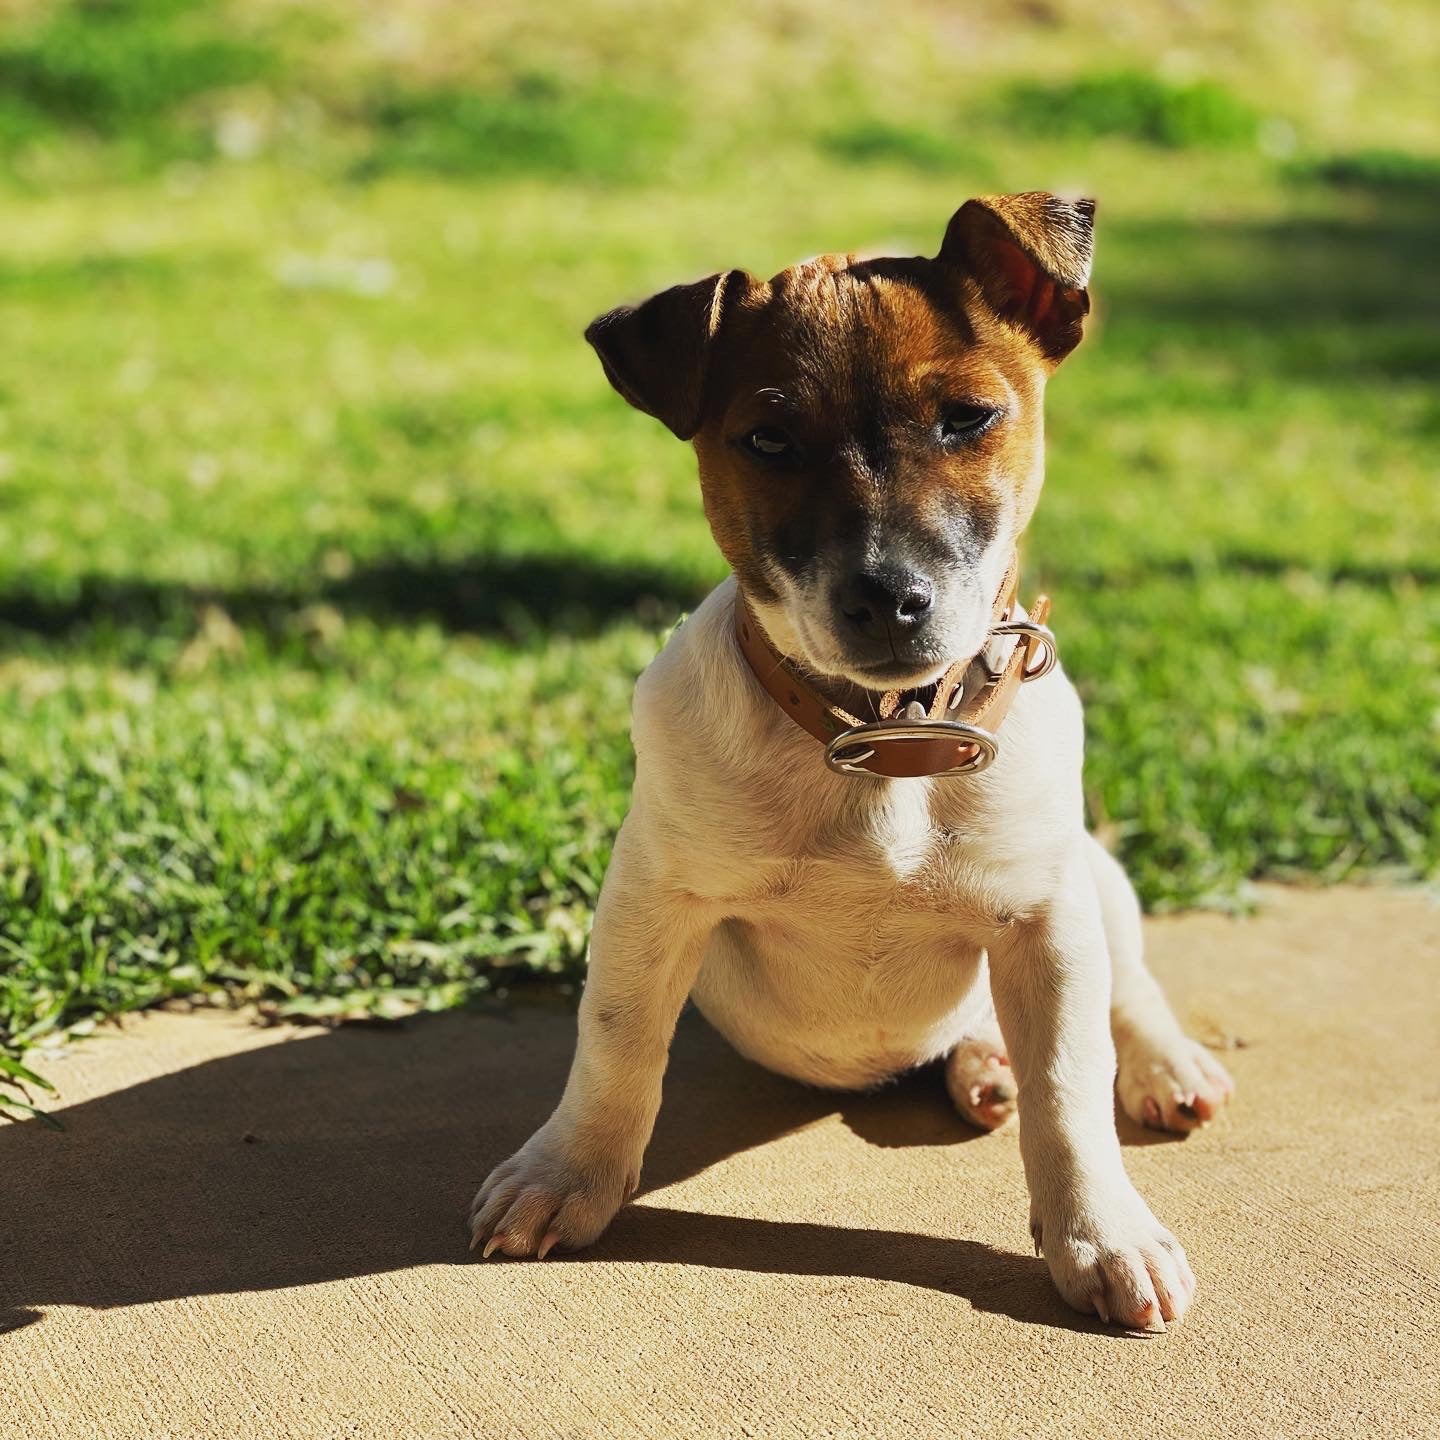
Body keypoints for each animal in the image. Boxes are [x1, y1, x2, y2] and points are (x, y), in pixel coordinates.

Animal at [466, 194, 1232, 1336]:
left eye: (967, 418)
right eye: (769, 439)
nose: (887, 598)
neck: (885, 741)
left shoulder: (1048, 916)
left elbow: (1069, 1086)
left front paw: (1104, 1235)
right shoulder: (653, 898)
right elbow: (615, 1047)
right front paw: (567, 1176)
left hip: (1096, 876)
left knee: (1127, 987)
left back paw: (1150, 1064)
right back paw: (984, 1062)